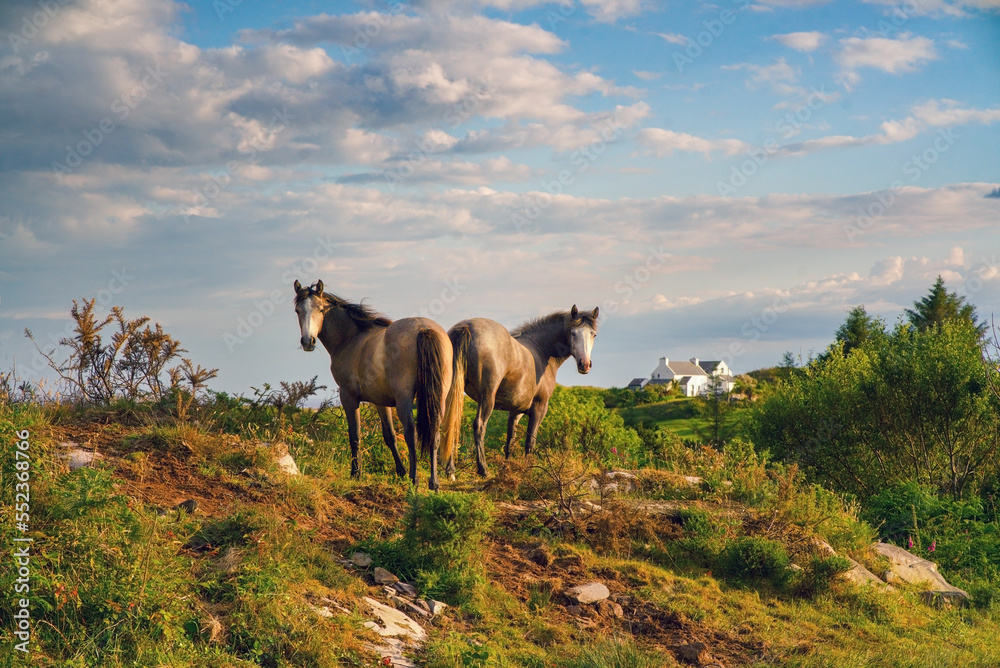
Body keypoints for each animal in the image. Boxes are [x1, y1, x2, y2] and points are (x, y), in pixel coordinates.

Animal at [294, 280, 456, 488]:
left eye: (320, 309)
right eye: (298, 310)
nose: (308, 341)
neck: (351, 339)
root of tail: (423, 329)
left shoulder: (348, 396)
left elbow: (355, 435)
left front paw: (356, 473)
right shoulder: (381, 402)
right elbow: (390, 436)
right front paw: (400, 472)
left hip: (404, 399)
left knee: (411, 433)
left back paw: (415, 479)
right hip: (438, 397)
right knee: (435, 433)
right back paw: (433, 482)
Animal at [442, 306, 596, 478]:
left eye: (593, 334)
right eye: (573, 333)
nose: (585, 364)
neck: (541, 350)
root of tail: (465, 327)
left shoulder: (516, 411)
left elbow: (510, 442)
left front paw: (506, 470)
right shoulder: (539, 408)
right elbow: (530, 442)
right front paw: (529, 471)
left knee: (451, 423)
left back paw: (450, 471)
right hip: (487, 398)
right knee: (479, 426)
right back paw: (483, 470)